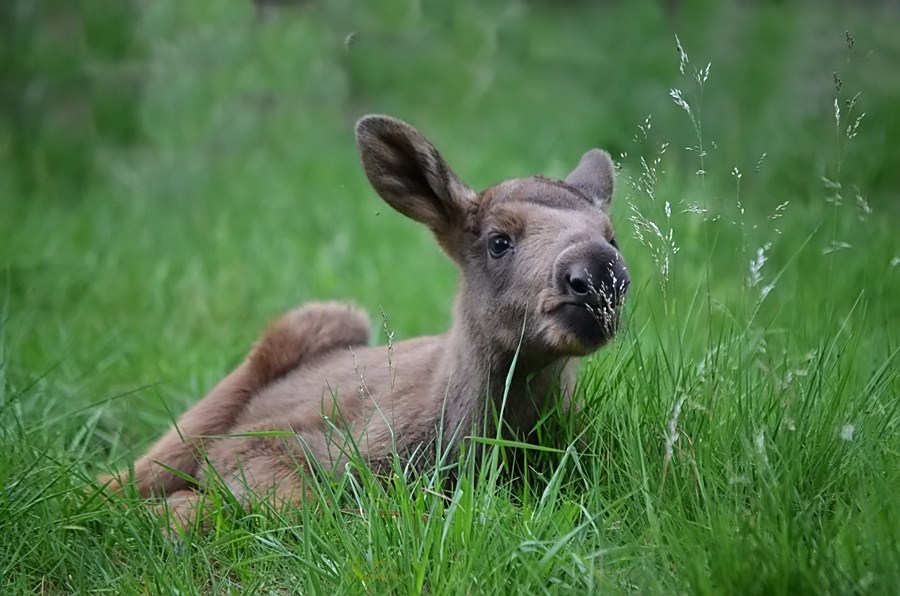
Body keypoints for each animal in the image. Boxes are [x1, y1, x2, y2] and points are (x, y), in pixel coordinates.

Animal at [102, 115, 628, 528]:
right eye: (499, 241)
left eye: (612, 237)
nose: (600, 273)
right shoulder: (271, 443)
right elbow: (319, 505)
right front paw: (182, 511)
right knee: (112, 482)